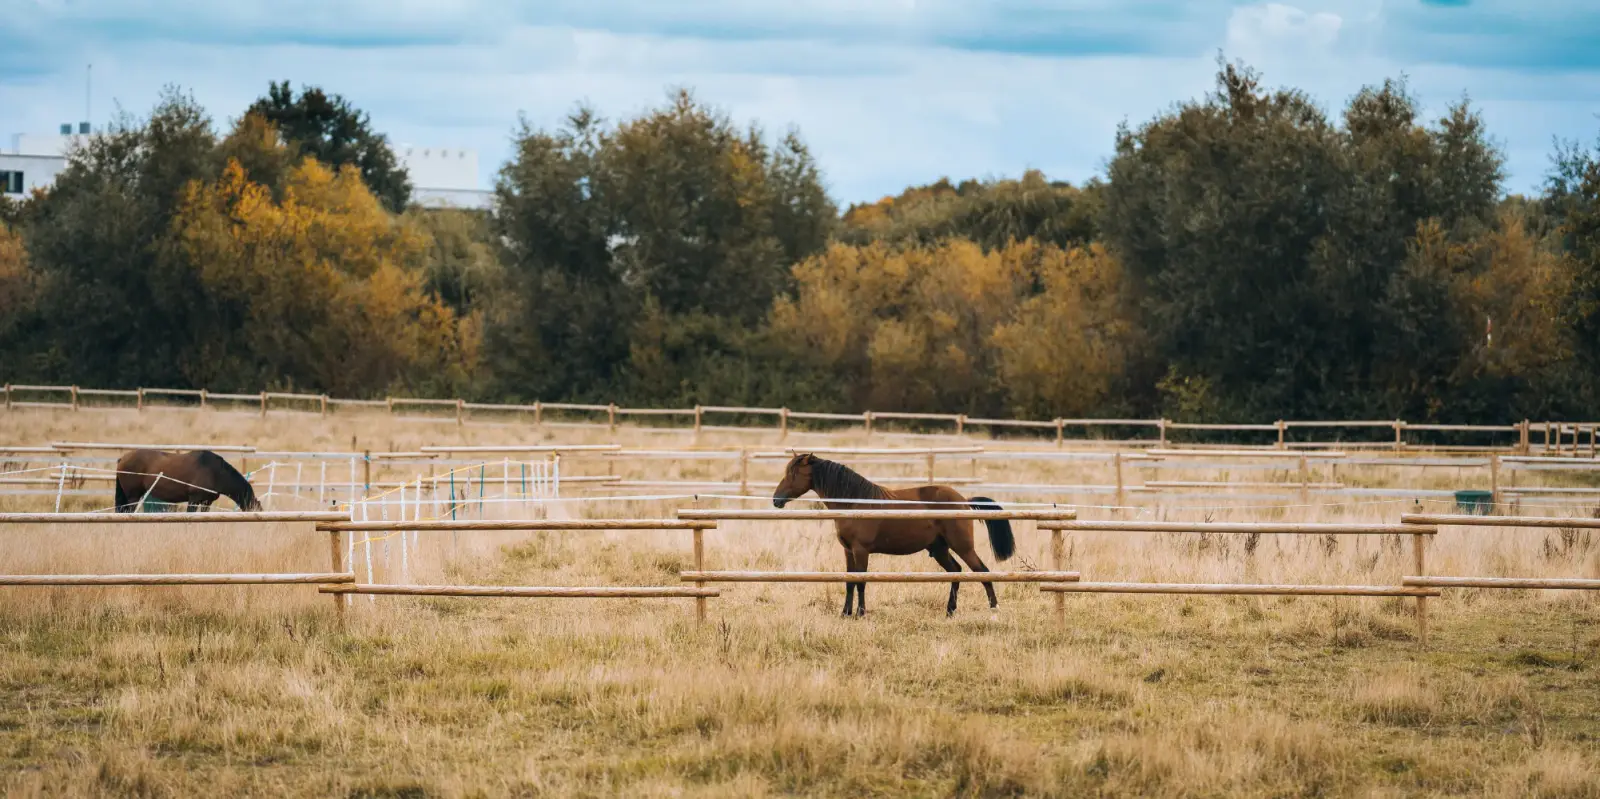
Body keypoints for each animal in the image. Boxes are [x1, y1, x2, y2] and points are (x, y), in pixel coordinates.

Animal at [771, 453, 1014, 618]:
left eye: (794, 474)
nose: (776, 500)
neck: (855, 502)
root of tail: (963, 501)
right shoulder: (848, 551)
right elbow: (849, 581)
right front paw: (845, 613)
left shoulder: (861, 550)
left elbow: (861, 581)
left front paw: (860, 613)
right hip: (939, 549)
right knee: (956, 572)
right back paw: (950, 611)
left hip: (962, 546)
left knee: (982, 571)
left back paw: (994, 609)